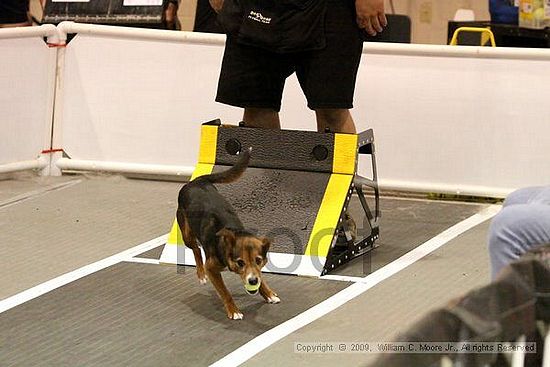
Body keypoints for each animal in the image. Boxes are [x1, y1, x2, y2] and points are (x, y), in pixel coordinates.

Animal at [177, 148, 280, 320]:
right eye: (240, 262)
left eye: (258, 260)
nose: (252, 281)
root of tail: (196, 182)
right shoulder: (212, 269)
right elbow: (225, 293)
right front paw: (234, 311)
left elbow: (261, 278)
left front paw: (268, 293)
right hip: (186, 233)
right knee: (196, 249)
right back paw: (201, 275)